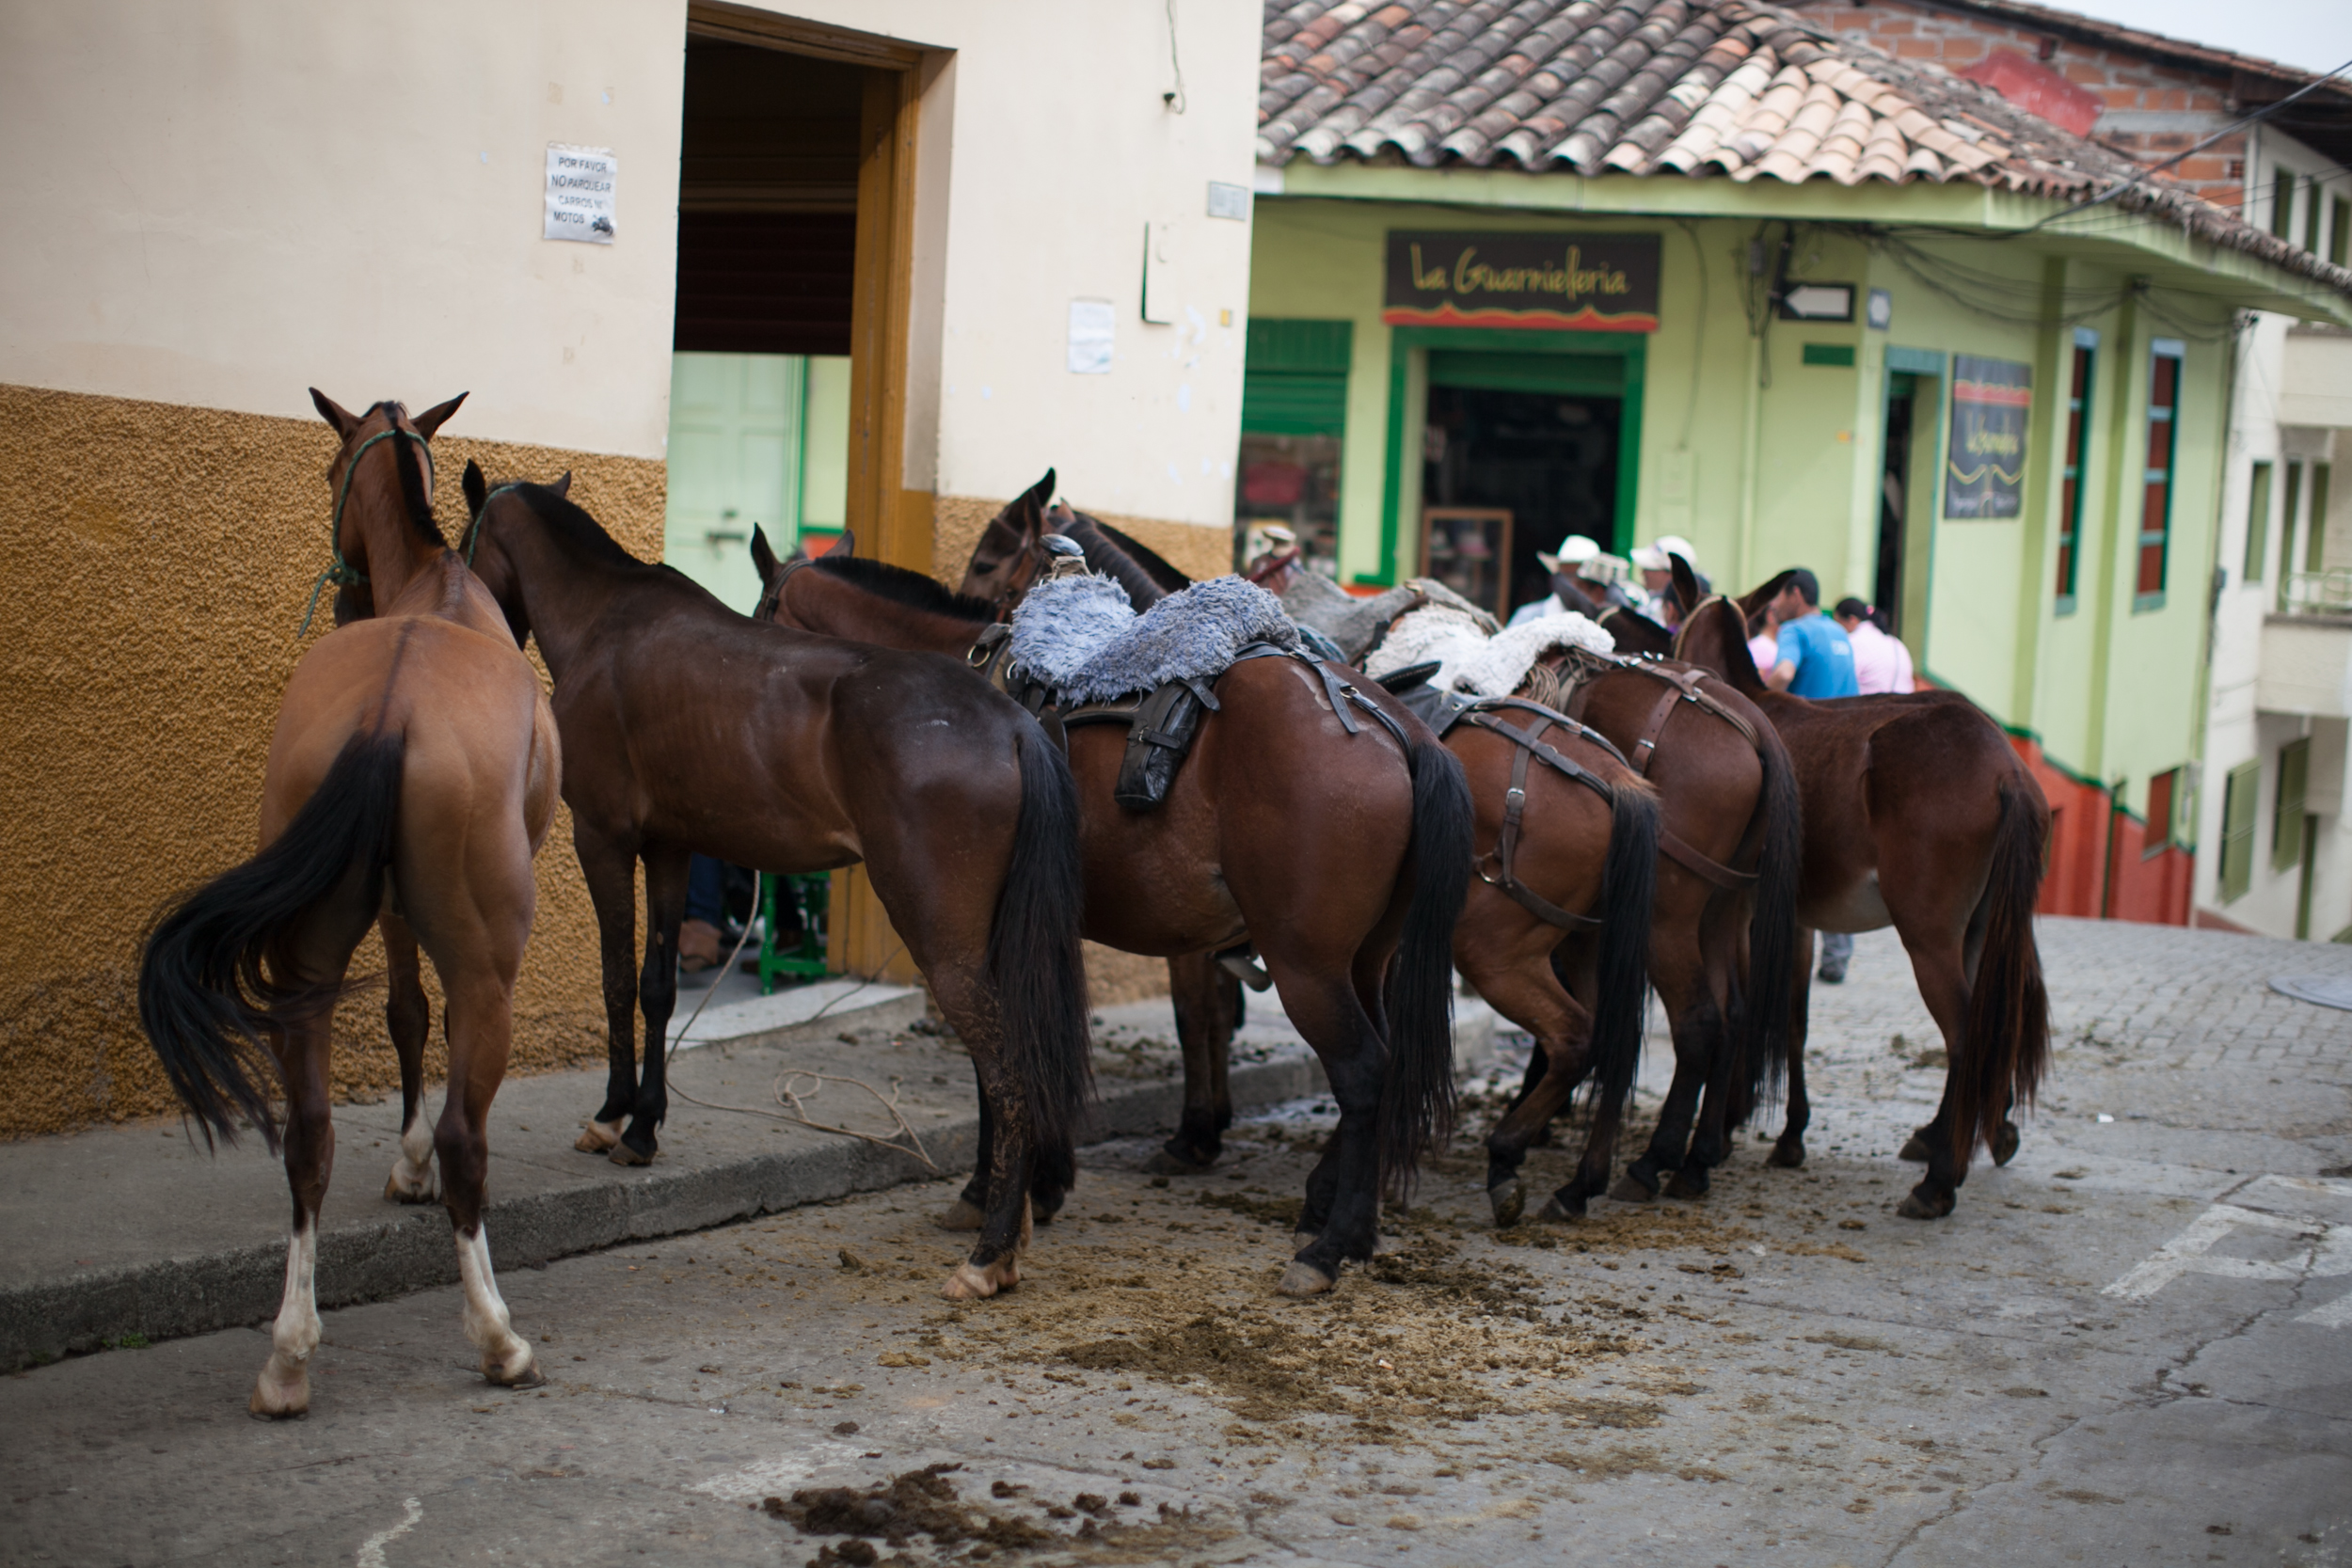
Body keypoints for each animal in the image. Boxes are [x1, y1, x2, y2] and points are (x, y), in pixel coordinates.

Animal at [137, 385, 555, 1419]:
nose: (348, 594)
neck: (438, 584)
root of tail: (389, 713)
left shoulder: (391, 915)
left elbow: (402, 1013)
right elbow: (422, 1035)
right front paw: (411, 1164)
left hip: (308, 964)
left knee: (308, 1136)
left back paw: (289, 1355)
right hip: (488, 972)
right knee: (465, 1136)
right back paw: (498, 1336)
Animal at [463, 465, 1096, 1297]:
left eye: (464, 540)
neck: (609, 621)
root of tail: (1014, 723)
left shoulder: (603, 837)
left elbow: (615, 977)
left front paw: (611, 1114)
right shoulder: (671, 845)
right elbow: (658, 984)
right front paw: (644, 1124)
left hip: (945, 942)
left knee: (1010, 1068)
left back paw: (989, 1253)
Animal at [753, 483, 1486, 1297]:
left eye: (989, 559)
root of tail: (1396, 728)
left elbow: (1005, 1059)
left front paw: (1002, 1192)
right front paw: (1035, 1185)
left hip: (1307, 964)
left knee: (1363, 1074)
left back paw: (1329, 1247)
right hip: (1365, 958)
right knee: (1384, 1069)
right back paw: (1334, 1220)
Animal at [941, 496, 1675, 1231]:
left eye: (987, 560)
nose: (969, 622)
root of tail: (1616, 778)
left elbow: (1183, 1018)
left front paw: (1180, 1137)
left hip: (1475, 953)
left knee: (1569, 1038)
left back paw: (1505, 1160)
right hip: (1560, 946)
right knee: (1609, 1042)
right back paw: (1577, 1177)